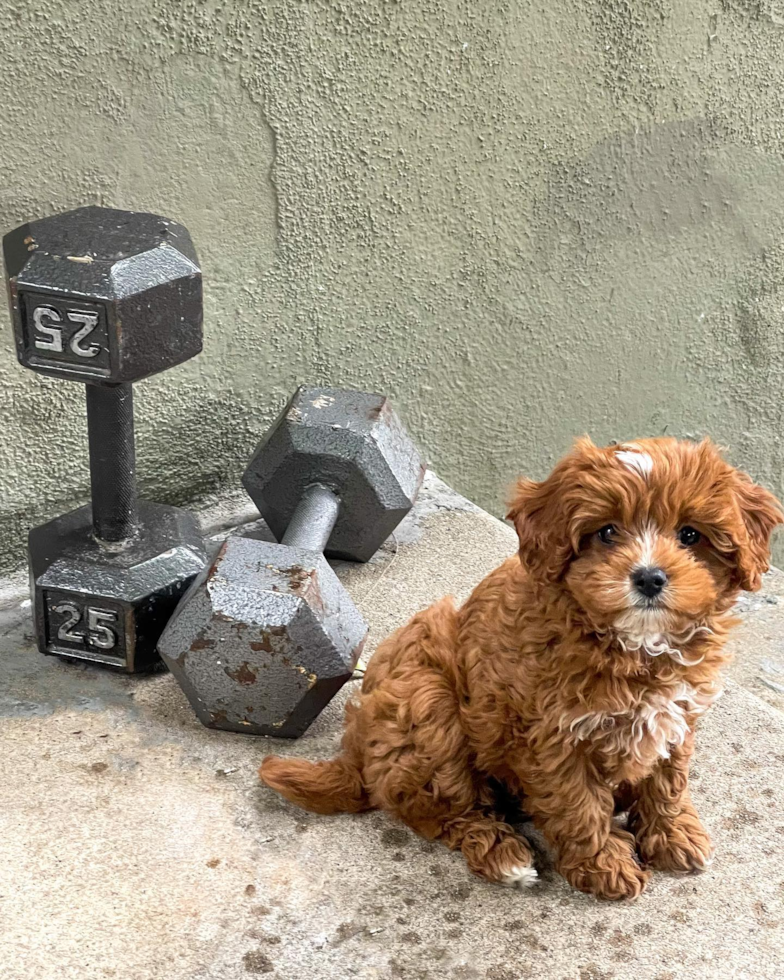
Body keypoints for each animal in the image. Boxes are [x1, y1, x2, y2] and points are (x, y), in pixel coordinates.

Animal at [260, 440, 780, 900]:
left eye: (690, 535)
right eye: (607, 532)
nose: (650, 577)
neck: (632, 644)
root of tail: (355, 754)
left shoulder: (676, 714)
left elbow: (668, 779)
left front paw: (672, 834)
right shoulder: (553, 737)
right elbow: (578, 805)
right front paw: (605, 866)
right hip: (427, 704)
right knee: (448, 812)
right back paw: (502, 853)